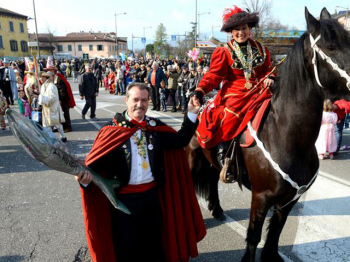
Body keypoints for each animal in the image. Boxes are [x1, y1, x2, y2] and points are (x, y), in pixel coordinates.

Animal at [187, 7, 350, 260]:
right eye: (331, 47)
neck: (287, 136)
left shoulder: (289, 200)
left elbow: (274, 236)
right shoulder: (260, 197)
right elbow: (254, 237)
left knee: (213, 177)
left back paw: (217, 209)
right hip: (193, 157)